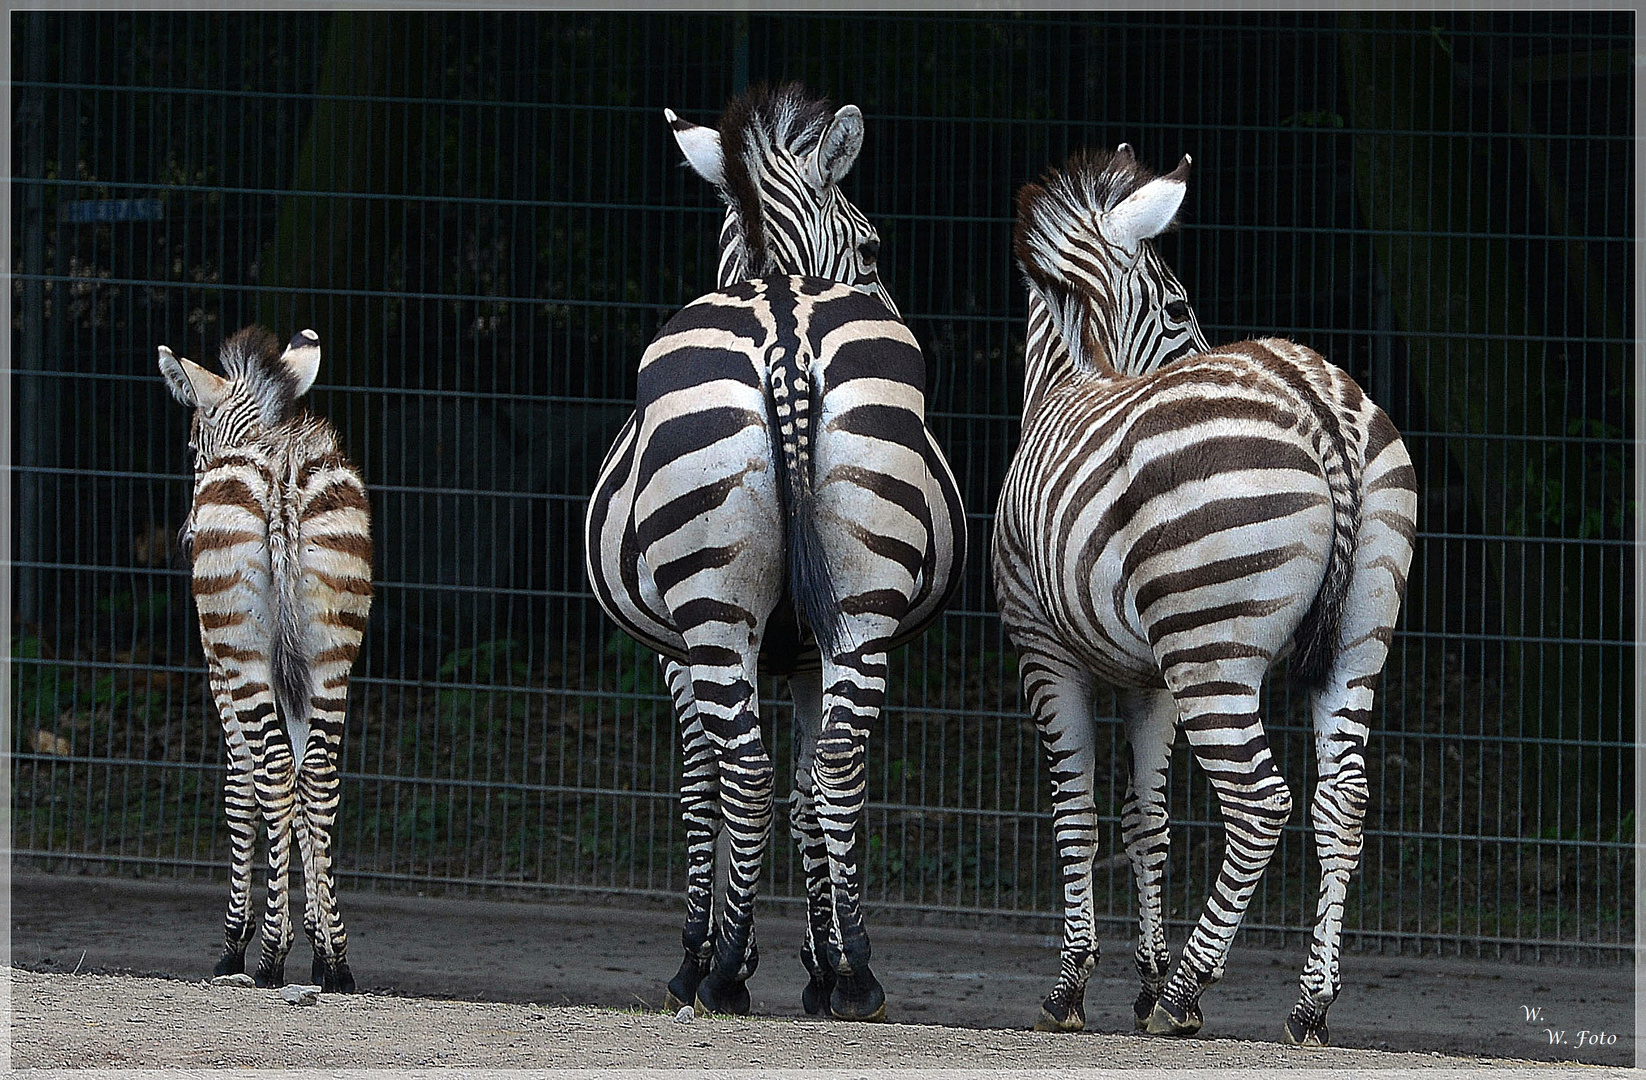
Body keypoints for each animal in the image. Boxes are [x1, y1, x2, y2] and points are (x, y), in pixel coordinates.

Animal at [159, 324, 373, 994]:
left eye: (194, 446)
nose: (186, 537)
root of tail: (283, 473)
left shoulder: (219, 673)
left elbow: (241, 790)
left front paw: (238, 942)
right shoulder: (295, 674)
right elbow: (306, 800)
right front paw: (322, 945)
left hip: (241, 648)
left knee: (275, 770)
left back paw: (269, 959)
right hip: (332, 647)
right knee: (320, 775)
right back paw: (337, 966)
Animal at [585, 84, 961, 1020]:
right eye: (872, 246)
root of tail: (784, 325)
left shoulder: (679, 652)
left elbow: (703, 788)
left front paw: (706, 953)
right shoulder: (799, 655)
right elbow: (805, 794)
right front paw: (820, 963)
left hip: (715, 609)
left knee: (748, 776)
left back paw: (720, 976)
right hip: (860, 603)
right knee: (836, 767)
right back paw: (858, 976)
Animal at [987, 145, 1415, 1047]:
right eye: (1181, 304)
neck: (1070, 377)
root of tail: (1316, 402)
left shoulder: (1044, 651)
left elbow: (1075, 809)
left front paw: (1074, 987)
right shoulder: (1149, 679)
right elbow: (1145, 819)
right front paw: (1141, 977)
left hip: (1213, 654)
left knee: (1260, 803)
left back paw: (1188, 992)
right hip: (1357, 634)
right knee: (1343, 799)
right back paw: (1308, 1005)